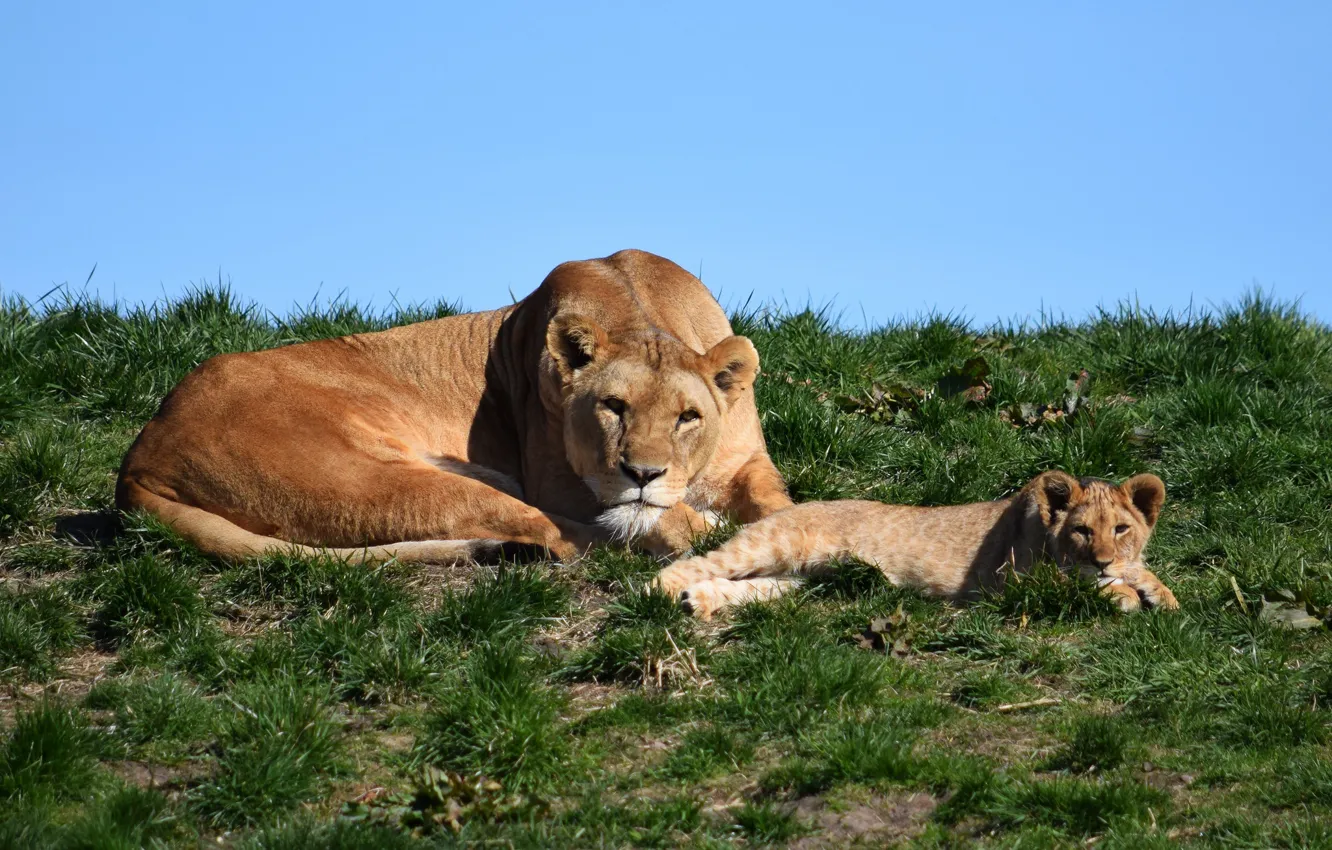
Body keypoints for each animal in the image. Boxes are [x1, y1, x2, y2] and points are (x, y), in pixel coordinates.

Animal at [115, 249, 793, 563]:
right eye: (612, 406)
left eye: (688, 417)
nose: (643, 474)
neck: (636, 308)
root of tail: (142, 452)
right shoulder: (558, 481)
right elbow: (640, 517)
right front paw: (685, 522)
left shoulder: (746, 461)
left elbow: (774, 500)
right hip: (384, 481)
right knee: (551, 534)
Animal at [653, 471, 1179, 618]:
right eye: (1082, 530)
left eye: (1121, 529)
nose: (1103, 559)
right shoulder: (1012, 583)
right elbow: (1078, 583)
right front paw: (1125, 594)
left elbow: (1138, 571)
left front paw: (1159, 592)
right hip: (775, 545)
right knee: (697, 561)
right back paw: (661, 592)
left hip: (797, 579)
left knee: (746, 586)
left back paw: (699, 601)